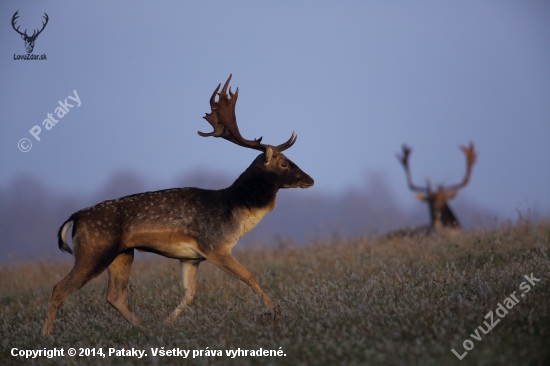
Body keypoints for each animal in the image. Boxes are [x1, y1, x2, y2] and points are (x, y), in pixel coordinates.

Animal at [42, 76, 314, 336]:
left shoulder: (191, 258)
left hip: (122, 253)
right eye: (284, 164)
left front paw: (167, 324)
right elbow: (249, 276)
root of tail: (75, 217)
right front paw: (278, 312)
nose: (310, 179)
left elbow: (189, 294)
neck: (235, 210)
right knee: (59, 288)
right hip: (93, 251)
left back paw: (144, 328)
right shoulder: (216, 246)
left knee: (114, 295)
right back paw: (45, 336)